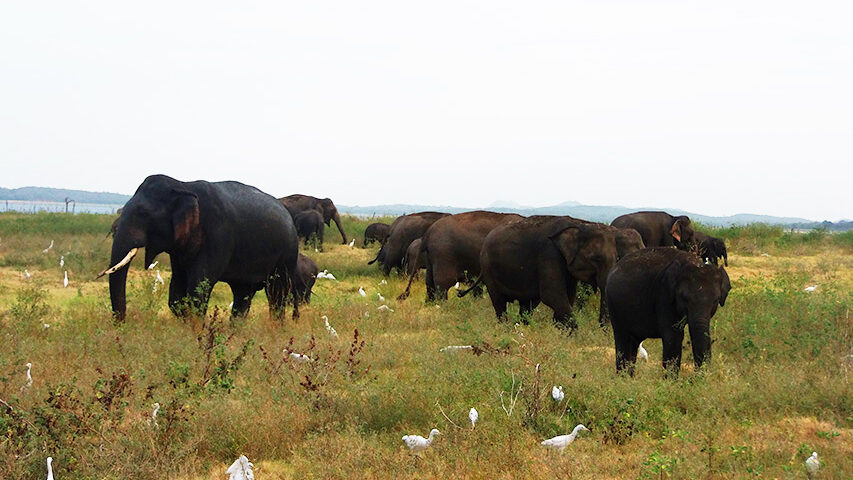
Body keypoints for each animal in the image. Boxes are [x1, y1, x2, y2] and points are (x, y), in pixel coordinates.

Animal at [103, 174, 298, 320]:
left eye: (143, 214)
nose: (122, 324)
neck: (182, 186)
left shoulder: (218, 235)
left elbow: (199, 287)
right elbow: (176, 292)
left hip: (287, 253)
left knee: (277, 294)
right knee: (242, 294)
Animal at [460, 217, 620, 332]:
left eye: (617, 258)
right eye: (596, 258)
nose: (603, 329)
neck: (579, 223)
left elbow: (568, 296)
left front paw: (559, 329)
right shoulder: (549, 255)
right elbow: (552, 295)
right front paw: (572, 334)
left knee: (527, 305)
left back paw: (523, 327)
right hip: (489, 271)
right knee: (499, 303)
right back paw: (505, 328)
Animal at [604, 249, 732, 376]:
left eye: (715, 300)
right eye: (684, 298)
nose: (694, 378)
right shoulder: (664, 296)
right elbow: (673, 336)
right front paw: (671, 380)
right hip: (614, 305)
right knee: (623, 339)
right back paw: (623, 377)